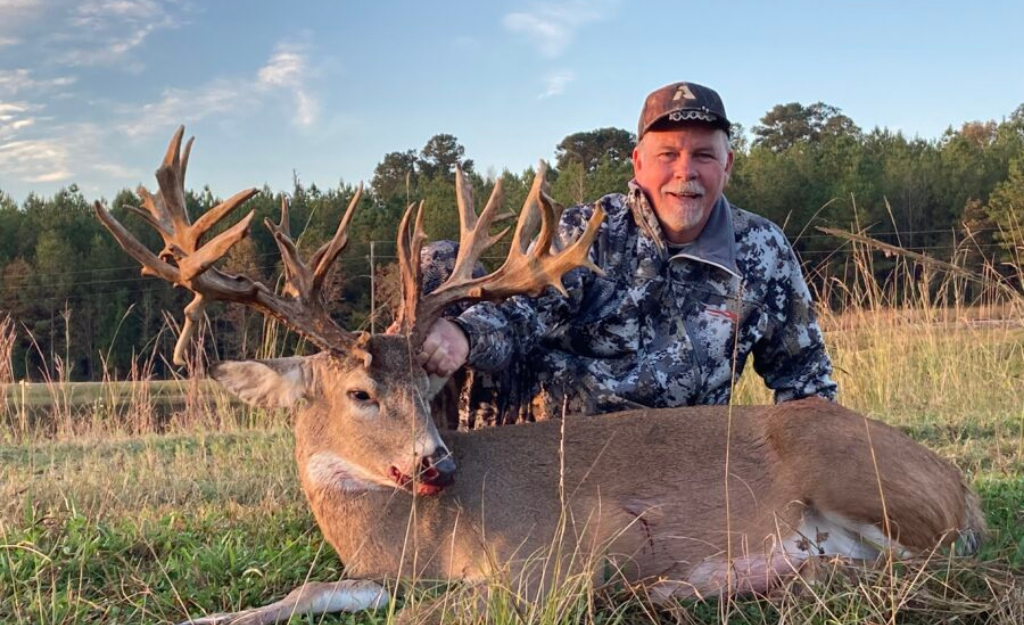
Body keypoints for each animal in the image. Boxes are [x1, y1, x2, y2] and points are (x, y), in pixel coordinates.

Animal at [94, 128, 985, 625]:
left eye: (427, 391)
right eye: (360, 393)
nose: (436, 463)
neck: (419, 533)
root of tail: (960, 480)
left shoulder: (549, 559)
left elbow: (427, 617)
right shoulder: (377, 571)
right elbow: (304, 592)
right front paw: (204, 618)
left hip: (851, 469)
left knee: (934, 562)